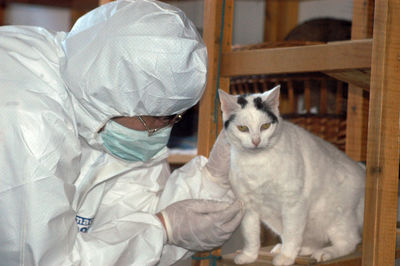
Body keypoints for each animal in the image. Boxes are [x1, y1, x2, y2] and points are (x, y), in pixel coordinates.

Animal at [219, 85, 366, 266]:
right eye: (243, 128)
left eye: (265, 126)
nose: (256, 141)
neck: (257, 163)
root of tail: (361, 170)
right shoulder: (247, 205)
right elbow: (251, 235)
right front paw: (249, 256)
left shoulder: (293, 203)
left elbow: (291, 233)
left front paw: (287, 257)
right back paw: (300, 249)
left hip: (337, 218)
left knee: (349, 242)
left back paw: (325, 252)